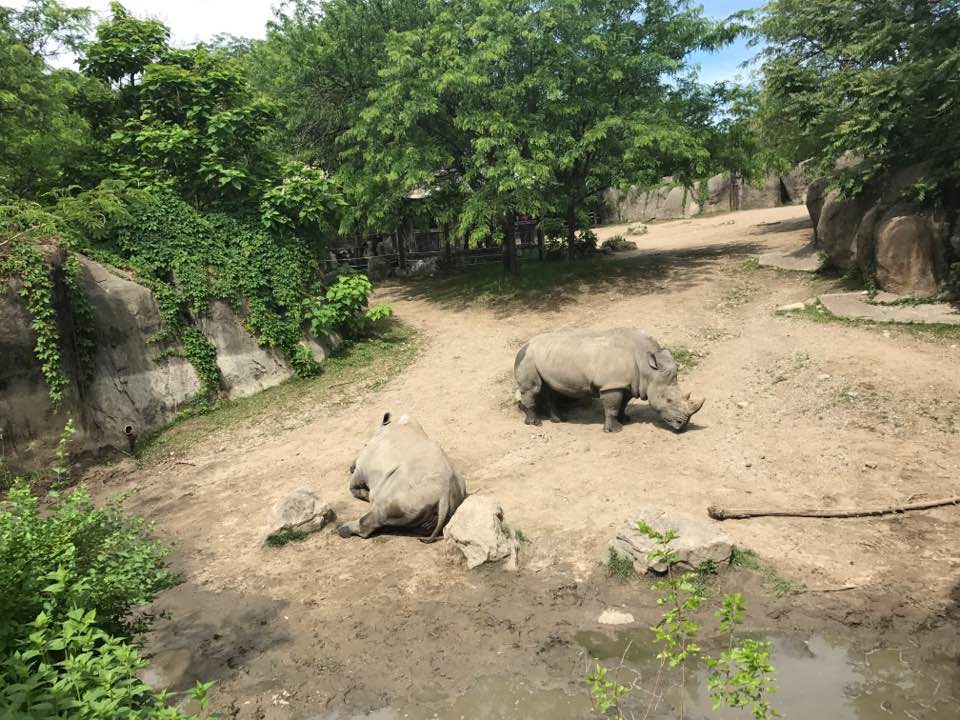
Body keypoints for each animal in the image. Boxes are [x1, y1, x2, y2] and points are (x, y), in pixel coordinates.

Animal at [337, 412, 466, 541]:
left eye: (365, 445)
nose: (350, 467)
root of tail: (444, 497)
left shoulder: (362, 468)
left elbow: (353, 487)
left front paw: (365, 494)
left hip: (407, 496)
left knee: (378, 512)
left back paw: (342, 529)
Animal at [514, 328, 705, 433]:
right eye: (668, 400)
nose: (682, 425)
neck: (646, 367)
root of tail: (524, 345)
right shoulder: (611, 385)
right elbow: (612, 407)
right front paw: (615, 430)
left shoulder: (627, 384)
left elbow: (623, 404)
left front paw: (625, 419)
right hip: (527, 357)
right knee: (533, 389)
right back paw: (535, 424)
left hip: (547, 356)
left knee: (549, 389)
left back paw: (559, 420)